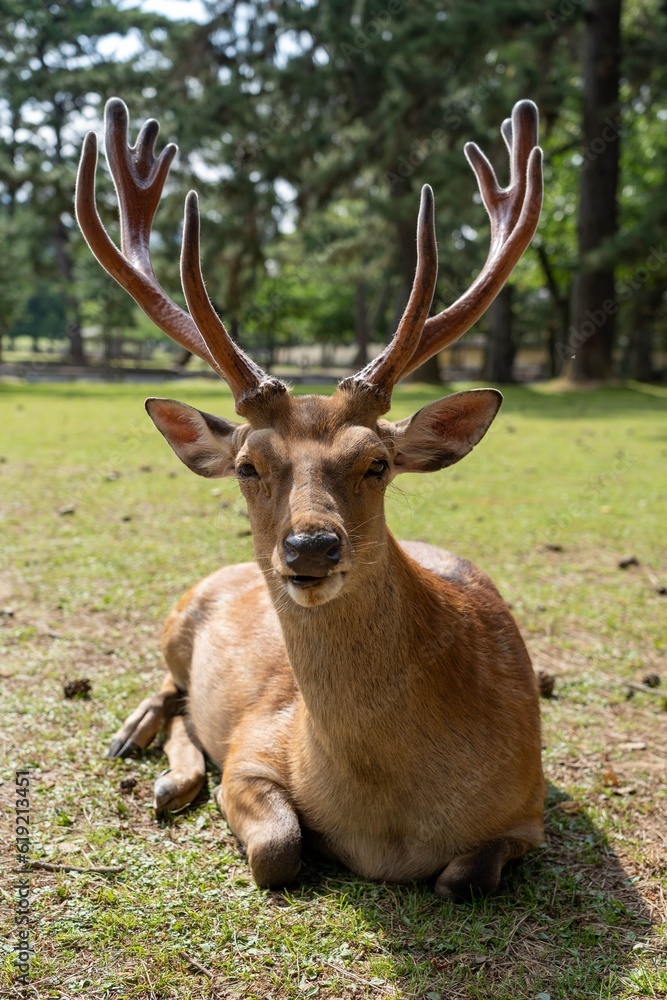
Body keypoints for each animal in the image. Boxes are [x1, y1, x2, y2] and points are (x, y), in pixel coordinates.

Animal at [77, 97, 548, 904]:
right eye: (247, 466)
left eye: (377, 462)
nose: (310, 547)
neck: (385, 822)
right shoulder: (254, 746)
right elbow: (277, 846)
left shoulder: (529, 807)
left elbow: (461, 878)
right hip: (176, 616)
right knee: (170, 685)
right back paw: (146, 748)